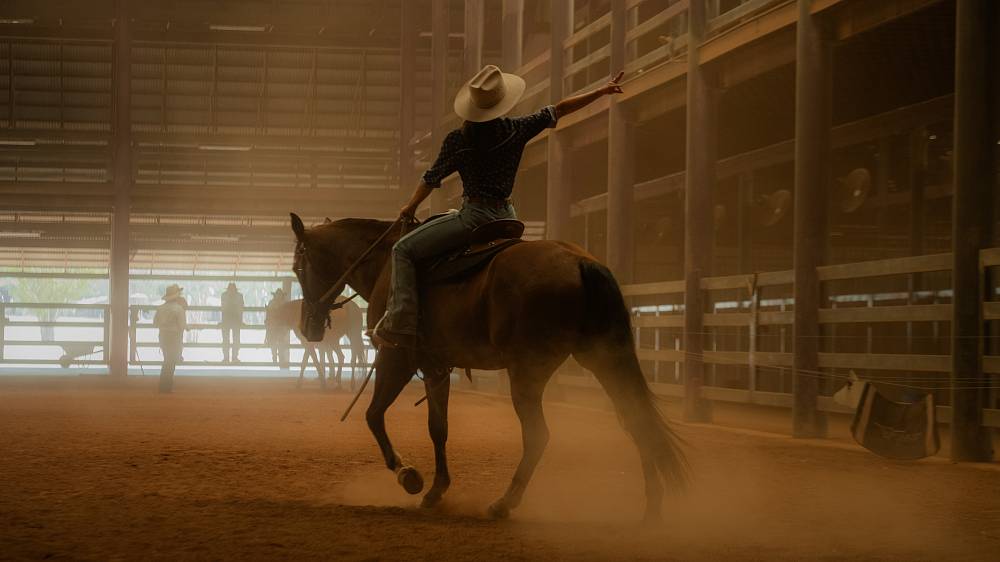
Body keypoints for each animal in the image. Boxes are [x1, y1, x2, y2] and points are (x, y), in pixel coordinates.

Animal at [286, 212, 684, 520]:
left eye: (297, 266)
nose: (308, 325)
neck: (385, 263)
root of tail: (578, 261)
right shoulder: (435, 366)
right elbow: (438, 428)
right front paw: (436, 490)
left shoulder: (396, 356)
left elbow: (373, 415)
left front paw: (408, 475)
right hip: (603, 358)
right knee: (636, 420)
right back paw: (653, 509)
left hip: (527, 372)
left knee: (538, 435)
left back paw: (503, 504)